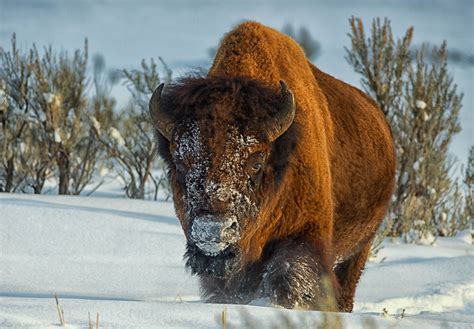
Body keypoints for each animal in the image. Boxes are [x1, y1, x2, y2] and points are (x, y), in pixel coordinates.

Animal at [149, 22, 396, 310]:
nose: (213, 230)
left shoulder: (306, 234)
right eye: (180, 161)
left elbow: (290, 276)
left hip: (360, 248)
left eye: (257, 161)